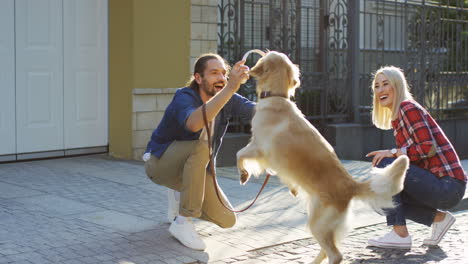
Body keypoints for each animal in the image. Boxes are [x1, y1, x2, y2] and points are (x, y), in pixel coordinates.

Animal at [238, 51, 410, 264]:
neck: (277, 97)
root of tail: (350, 186)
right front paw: (293, 188)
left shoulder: (259, 147)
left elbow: (239, 154)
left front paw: (243, 174)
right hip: (319, 222)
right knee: (326, 250)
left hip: (318, 224)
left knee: (335, 254)